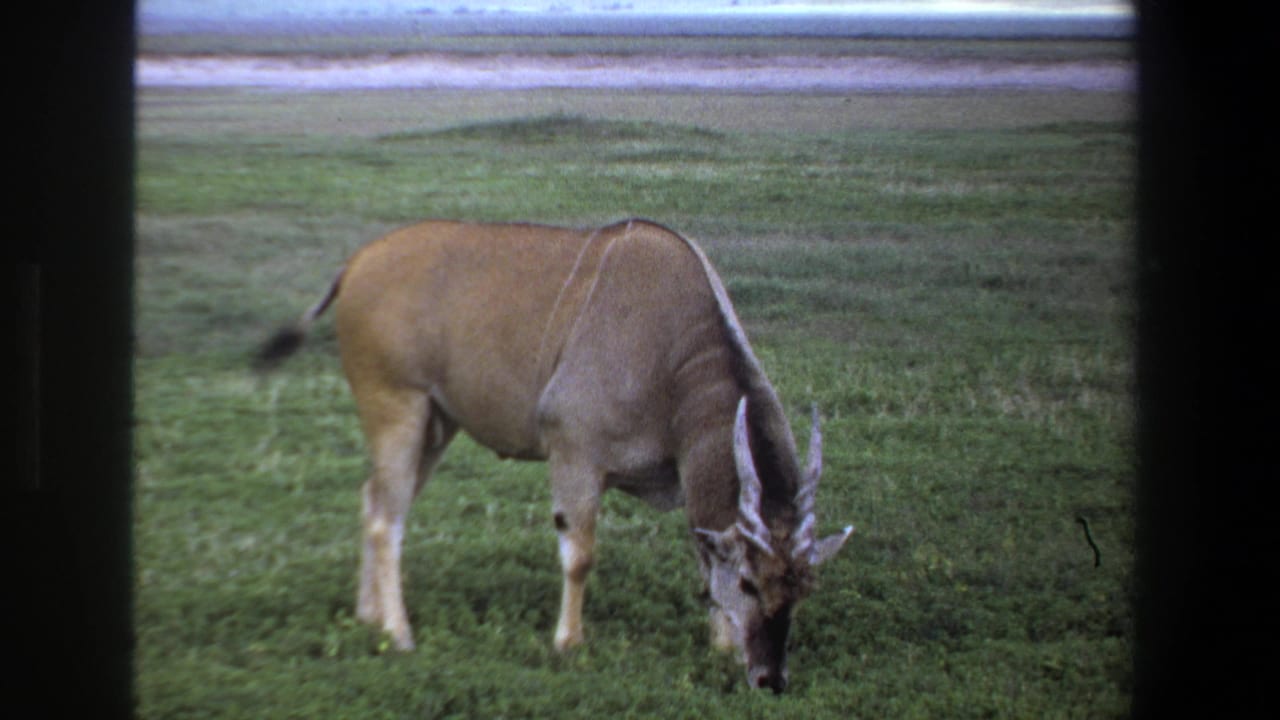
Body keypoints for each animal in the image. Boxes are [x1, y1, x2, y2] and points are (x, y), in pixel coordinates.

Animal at [255, 218, 853, 692]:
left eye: (804, 587)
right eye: (750, 583)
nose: (770, 679)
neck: (675, 356)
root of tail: (356, 263)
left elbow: (702, 551)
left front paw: (721, 646)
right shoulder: (574, 453)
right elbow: (580, 555)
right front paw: (569, 643)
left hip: (436, 425)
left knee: (376, 499)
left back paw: (368, 616)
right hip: (396, 406)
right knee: (387, 518)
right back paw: (399, 635)